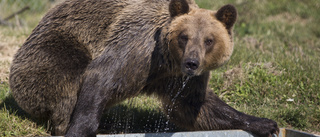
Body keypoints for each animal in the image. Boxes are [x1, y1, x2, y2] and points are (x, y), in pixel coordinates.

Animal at [8, 0, 278, 136]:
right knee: (65, 81)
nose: (192, 62)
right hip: (54, 47)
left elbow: (194, 108)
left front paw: (265, 124)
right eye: (184, 36)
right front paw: (79, 129)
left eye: (209, 40)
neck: (166, 61)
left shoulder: (180, 79)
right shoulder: (139, 49)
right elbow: (102, 76)